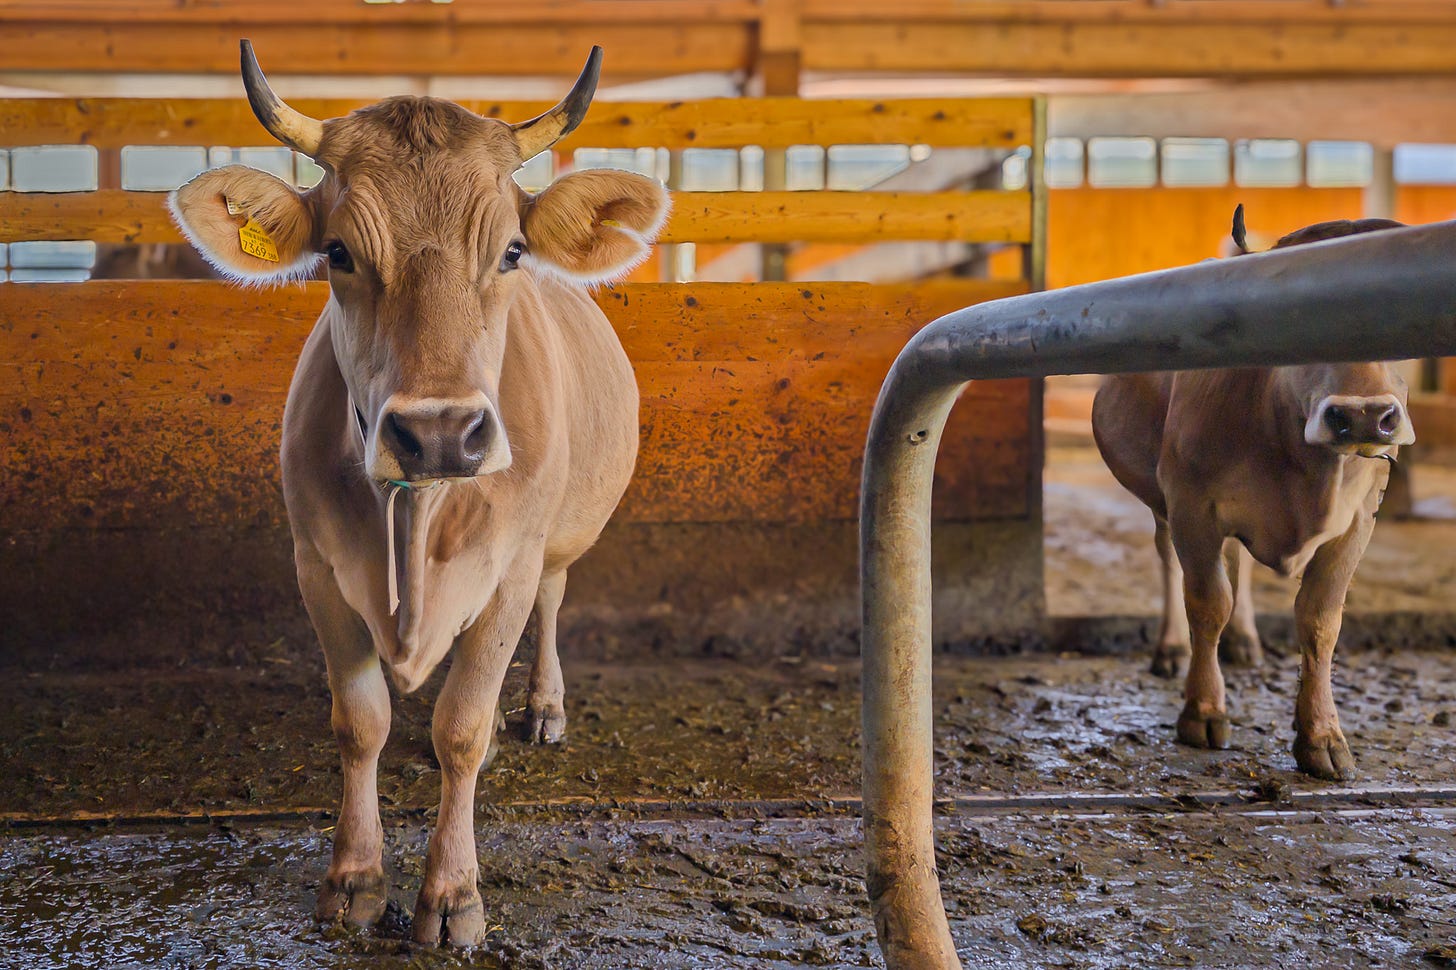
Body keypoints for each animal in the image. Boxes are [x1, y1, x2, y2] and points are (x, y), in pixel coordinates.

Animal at [168, 42, 669, 945]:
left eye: (511, 251)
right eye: (338, 252)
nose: (439, 432)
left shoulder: (510, 566)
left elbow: (460, 729)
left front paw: (452, 893)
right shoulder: (317, 568)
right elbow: (360, 721)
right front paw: (355, 878)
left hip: (558, 541)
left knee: (550, 604)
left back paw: (540, 709)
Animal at [1092, 205, 1413, 781]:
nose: (1362, 417)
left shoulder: (1358, 522)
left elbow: (1320, 619)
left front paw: (1322, 734)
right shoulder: (1192, 505)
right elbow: (1206, 602)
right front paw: (1202, 710)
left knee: (1237, 564)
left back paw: (1243, 641)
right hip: (1162, 502)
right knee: (1172, 564)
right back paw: (1171, 649)